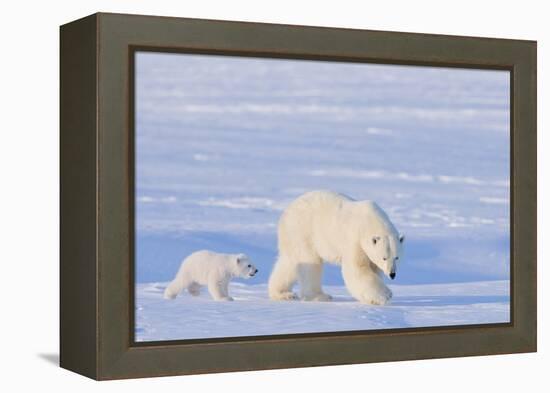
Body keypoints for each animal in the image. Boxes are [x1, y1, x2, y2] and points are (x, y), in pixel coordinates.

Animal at [268, 191, 406, 304]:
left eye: (397, 257)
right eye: (384, 258)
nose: (392, 274)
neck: (370, 221)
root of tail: (286, 213)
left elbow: (373, 269)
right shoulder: (354, 239)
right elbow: (357, 269)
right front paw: (386, 294)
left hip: (293, 237)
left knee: (290, 263)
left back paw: (282, 293)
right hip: (303, 231)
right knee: (310, 263)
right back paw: (320, 296)